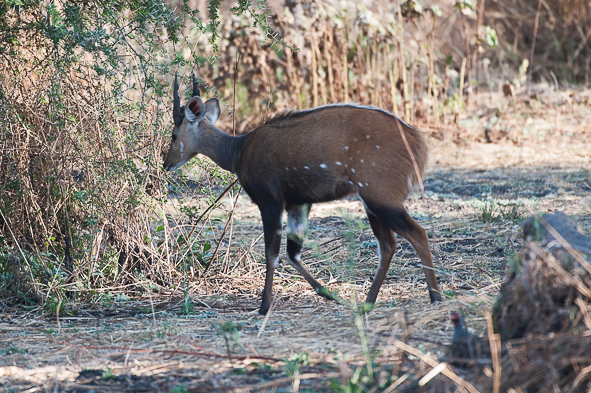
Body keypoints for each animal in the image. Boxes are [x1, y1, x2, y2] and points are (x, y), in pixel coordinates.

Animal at [164, 72, 442, 312]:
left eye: (174, 134)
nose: (166, 163)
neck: (238, 151)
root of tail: (415, 140)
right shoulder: (298, 203)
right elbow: (293, 253)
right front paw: (331, 295)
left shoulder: (270, 201)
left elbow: (272, 253)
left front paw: (264, 307)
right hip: (372, 201)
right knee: (388, 244)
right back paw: (367, 303)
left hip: (379, 194)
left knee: (416, 234)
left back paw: (435, 298)